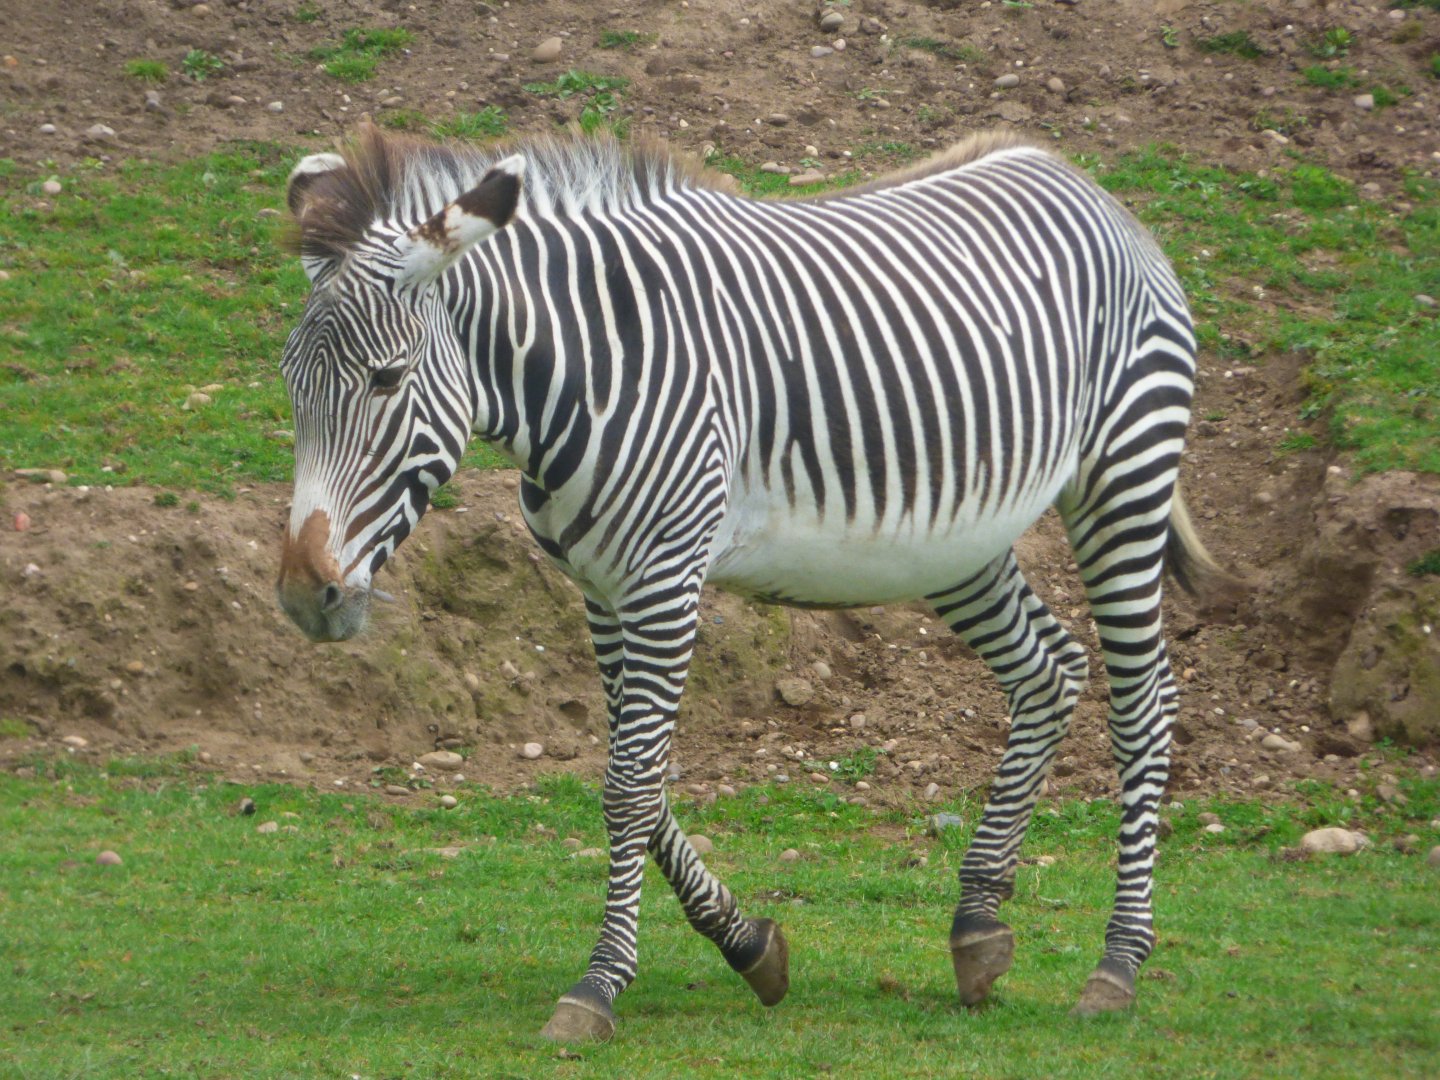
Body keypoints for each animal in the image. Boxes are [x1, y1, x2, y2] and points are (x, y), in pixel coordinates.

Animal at [275, 123, 1225, 1041]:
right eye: (289, 384)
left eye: (387, 379)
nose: (301, 596)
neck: (588, 373)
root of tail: (1073, 174)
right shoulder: (602, 592)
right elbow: (641, 781)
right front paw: (749, 945)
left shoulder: (664, 580)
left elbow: (628, 786)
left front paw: (597, 988)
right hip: (956, 539)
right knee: (1049, 672)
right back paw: (978, 927)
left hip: (1124, 472)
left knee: (1145, 705)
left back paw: (1117, 965)